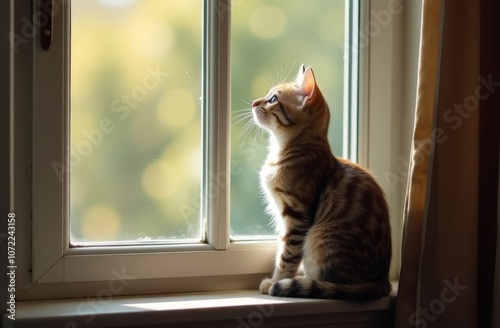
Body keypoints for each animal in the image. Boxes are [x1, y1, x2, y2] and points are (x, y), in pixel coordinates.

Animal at [252, 64, 392, 302]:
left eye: (273, 99)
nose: (254, 103)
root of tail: (383, 281)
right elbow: (282, 248)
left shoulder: (296, 216)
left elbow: (287, 255)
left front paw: (276, 280)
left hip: (320, 241)